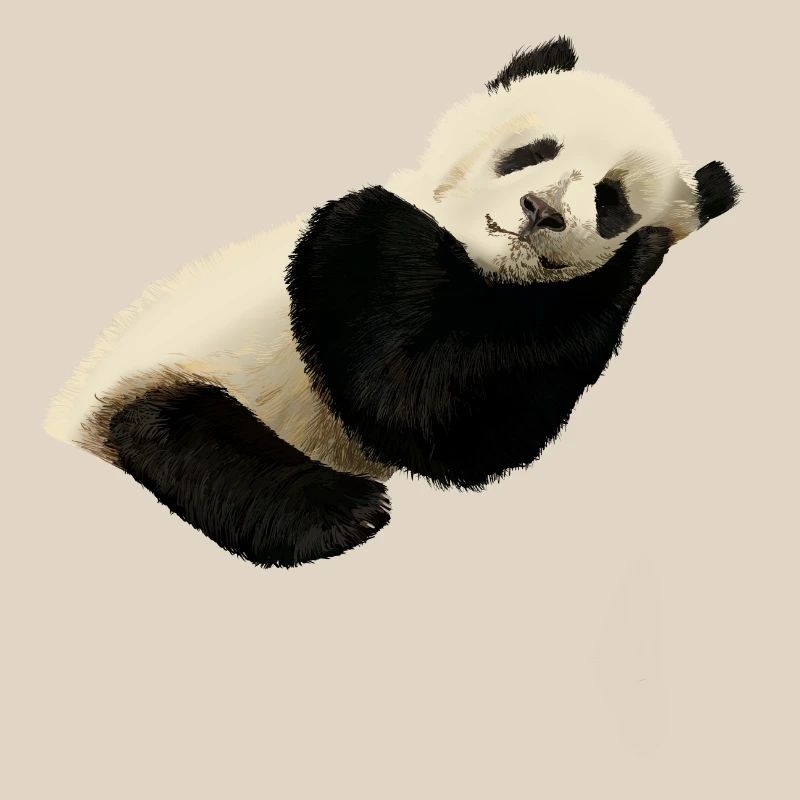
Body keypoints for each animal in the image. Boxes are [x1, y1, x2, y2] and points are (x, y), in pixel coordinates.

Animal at [44, 36, 740, 568]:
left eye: (611, 200)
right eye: (534, 151)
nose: (541, 210)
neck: (479, 263)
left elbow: (474, 424)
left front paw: (640, 252)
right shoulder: (346, 251)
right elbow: (409, 400)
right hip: (158, 378)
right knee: (180, 432)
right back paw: (341, 510)